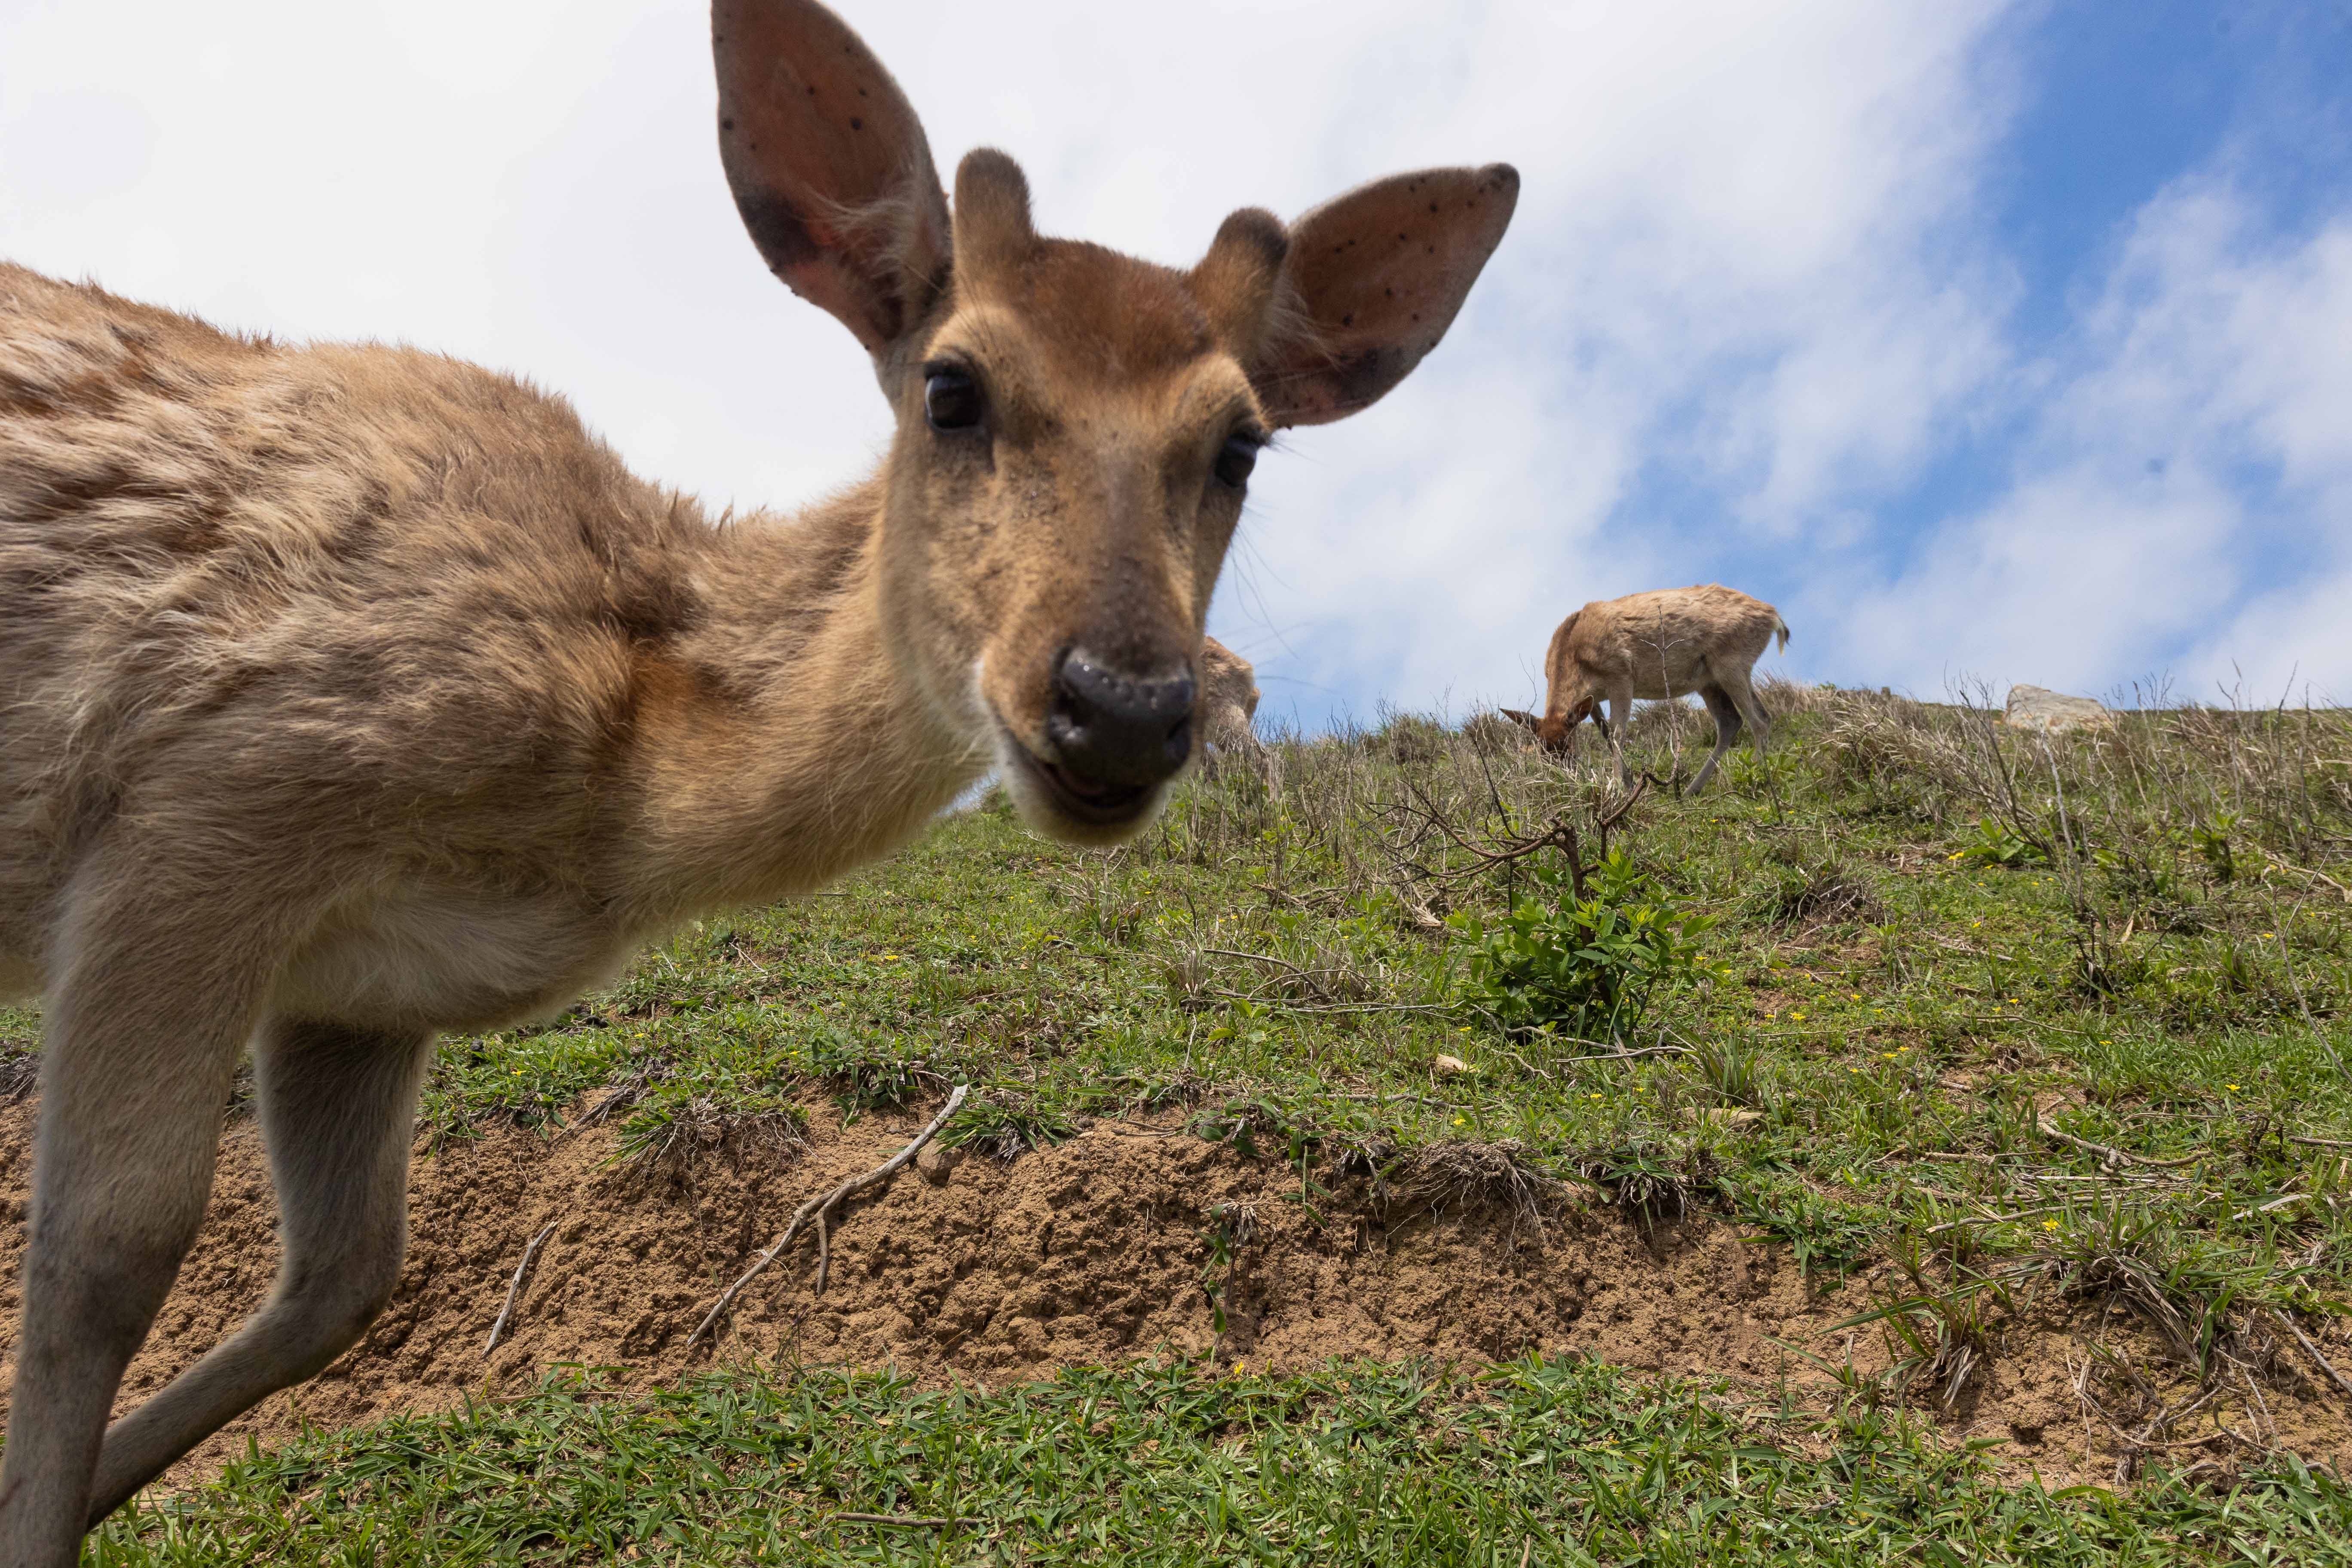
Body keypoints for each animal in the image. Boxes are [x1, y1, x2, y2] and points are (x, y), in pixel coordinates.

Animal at [0, 1, 1515, 1555]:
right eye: (952, 386)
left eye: (1241, 444)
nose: (1121, 708)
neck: (608, 807)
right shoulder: (214, 794)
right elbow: (104, 1254)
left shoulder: (363, 986)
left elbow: (344, 1280)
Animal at [1501, 584, 1787, 792]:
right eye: (1542, 752)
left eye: (1568, 746)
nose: (1564, 781)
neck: (1574, 655)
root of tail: (1776, 619)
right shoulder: (1594, 699)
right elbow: (1605, 733)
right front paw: (1629, 782)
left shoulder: (1621, 676)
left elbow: (1618, 732)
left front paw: (1619, 786)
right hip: (1709, 681)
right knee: (1732, 721)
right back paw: (1690, 791)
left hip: (1733, 664)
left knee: (1759, 719)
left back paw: (1756, 776)